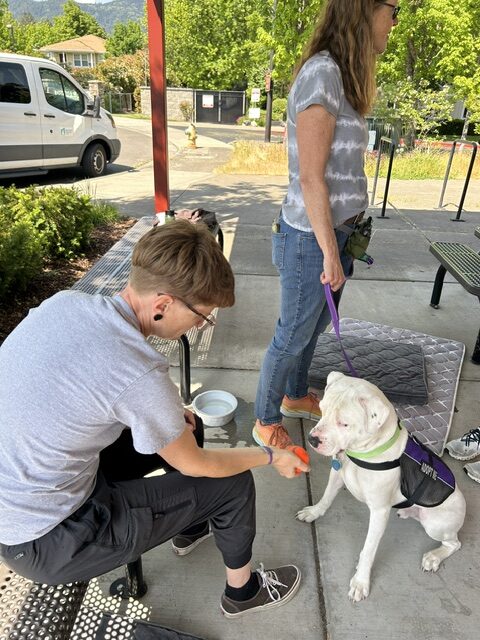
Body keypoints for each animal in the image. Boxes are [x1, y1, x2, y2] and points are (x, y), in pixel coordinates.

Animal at [297, 371, 466, 602]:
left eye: (344, 424)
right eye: (322, 409)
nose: (312, 440)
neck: (364, 453)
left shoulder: (379, 512)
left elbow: (369, 549)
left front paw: (360, 581)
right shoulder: (337, 473)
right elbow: (327, 496)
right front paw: (314, 512)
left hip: (435, 524)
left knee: (454, 543)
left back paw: (434, 557)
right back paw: (407, 512)